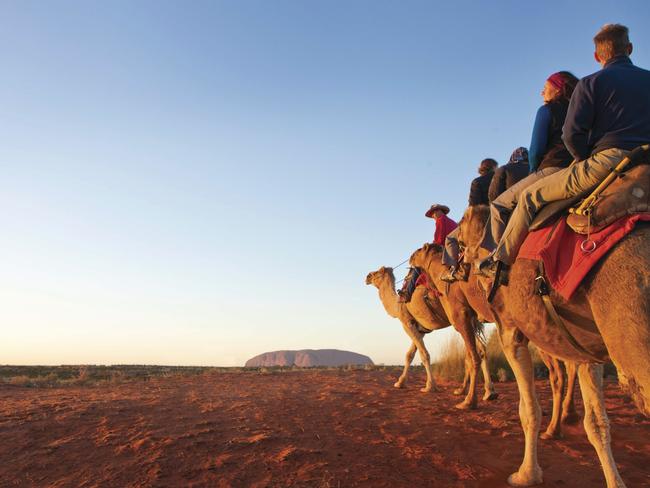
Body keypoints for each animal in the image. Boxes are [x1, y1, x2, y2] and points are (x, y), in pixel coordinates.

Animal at [362, 266, 494, 400]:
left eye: (376, 273)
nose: (367, 277)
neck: (397, 304)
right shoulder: (421, 330)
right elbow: (410, 354)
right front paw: (400, 383)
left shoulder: (407, 324)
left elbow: (424, 354)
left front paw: (429, 386)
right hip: (470, 318)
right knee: (481, 349)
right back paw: (486, 392)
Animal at [408, 246, 498, 410]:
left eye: (419, 250)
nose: (411, 257)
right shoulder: (470, 319)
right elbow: (472, 355)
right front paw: (464, 392)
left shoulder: (461, 319)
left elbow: (473, 358)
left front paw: (469, 401)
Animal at [458, 204, 644, 486]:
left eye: (460, 233)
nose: (459, 264)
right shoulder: (586, 349)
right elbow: (597, 422)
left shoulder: (510, 331)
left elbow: (529, 410)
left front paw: (526, 474)